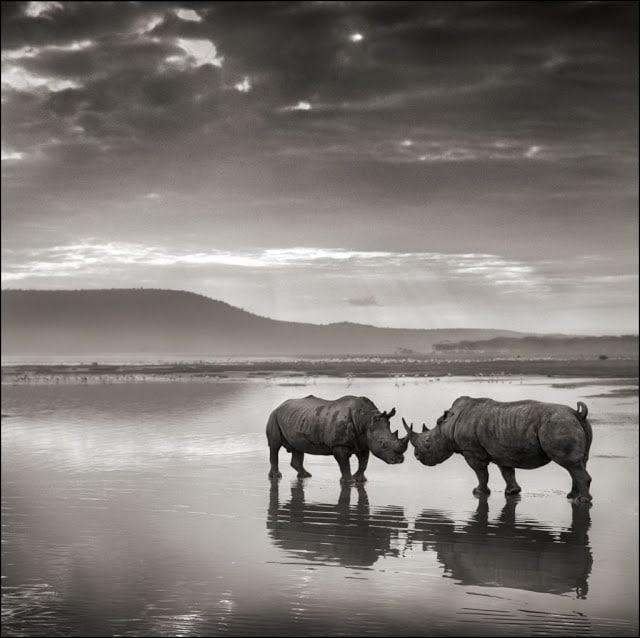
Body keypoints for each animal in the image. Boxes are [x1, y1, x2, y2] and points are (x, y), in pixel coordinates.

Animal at [266, 395, 408, 482]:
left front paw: (360, 480)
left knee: (298, 447)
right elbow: (345, 464)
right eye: (382, 444)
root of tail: (279, 405)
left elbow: (364, 462)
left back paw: (306, 476)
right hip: (273, 416)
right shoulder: (339, 445)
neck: (366, 420)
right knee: (274, 446)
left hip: (297, 418)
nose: (399, 460)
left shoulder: (364, 443)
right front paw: (349, 481)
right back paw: (276, 477)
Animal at [404, 396, 593, 502]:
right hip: (572, 424)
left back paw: (582, 501)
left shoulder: (472, 451)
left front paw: (478, 492)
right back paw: (571, 497)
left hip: (558, 424)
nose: (417, 456)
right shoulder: (503, 451)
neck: (448, 427)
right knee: (578, 463)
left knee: (570, 464)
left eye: (428, 442)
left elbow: (481, 473)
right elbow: (507, 472)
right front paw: (512, 492)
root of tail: (577, 413)